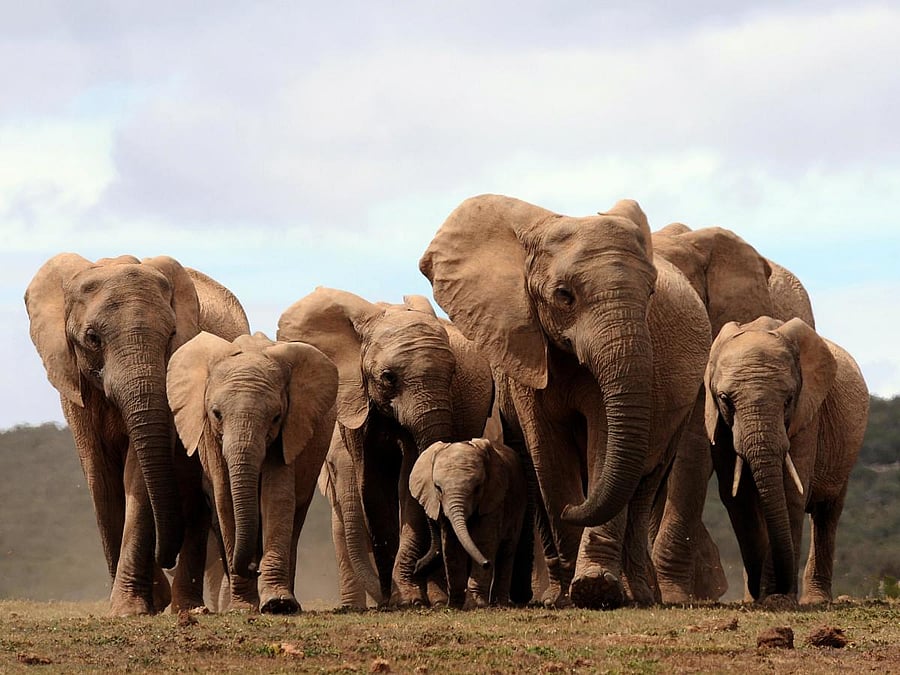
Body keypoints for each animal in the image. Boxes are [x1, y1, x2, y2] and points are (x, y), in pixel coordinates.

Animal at [24, 254, 249, 615]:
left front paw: (133, 607)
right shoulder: (74, 384)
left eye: (172, 334)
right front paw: (141, 603)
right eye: (92, 338)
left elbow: (138, 475)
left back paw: (186, 607)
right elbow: (99, 476)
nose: (164, 559)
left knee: (193, 497)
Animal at [166, 331, 338, 613]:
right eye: (216, 414)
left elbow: (276, 497)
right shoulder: (210, 437)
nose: (252, 567)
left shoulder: (289, 430)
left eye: (276, 417)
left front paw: (279, 605)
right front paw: (243, 608)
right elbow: (225, 500)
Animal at [410, 438, 530, 608]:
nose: (416, 566)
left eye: (477, 488)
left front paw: (477, 605)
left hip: (518, 503)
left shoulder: (493, 499)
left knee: (507, 550)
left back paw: (499, 604)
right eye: (438, 488)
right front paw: (454, 606)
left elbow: (483, 541)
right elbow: (451, 546)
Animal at [704, 317, 868, 604]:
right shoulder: (719, 423)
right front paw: (760, 598)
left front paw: (777, 599)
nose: (762, 591)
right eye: (725, 399)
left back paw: (815, 600)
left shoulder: (808, 415)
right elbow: (738, 498)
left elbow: (792, 492)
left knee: (826, 514)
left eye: (788, 400)